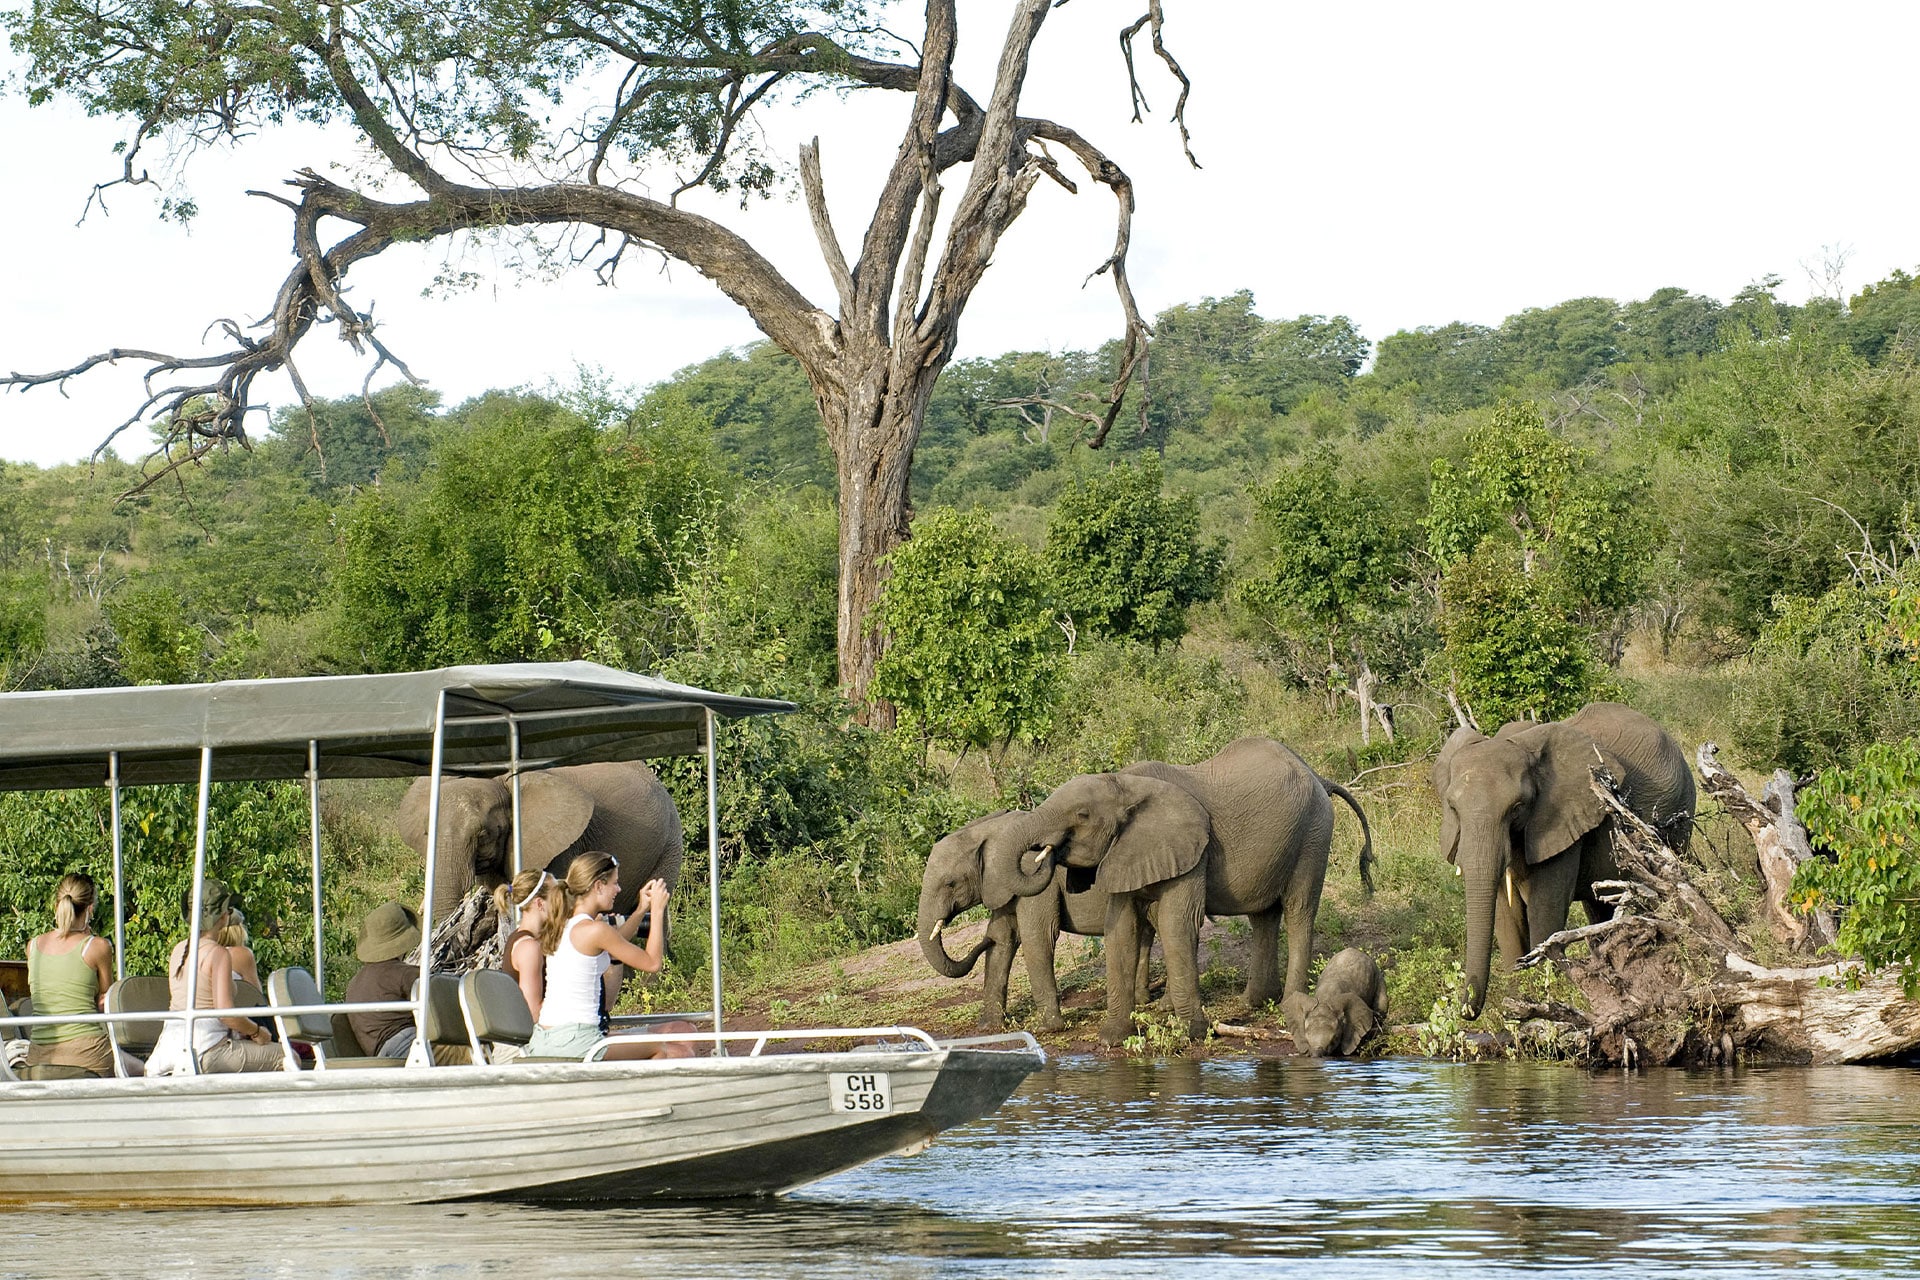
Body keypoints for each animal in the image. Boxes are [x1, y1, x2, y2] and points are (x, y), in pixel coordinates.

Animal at [917, 810, 1154, 1031]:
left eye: (950, 883)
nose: (982, 941)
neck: (989, 830)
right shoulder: (1001, 887)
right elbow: (1003, 940)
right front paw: (988, 1028)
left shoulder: (1034, 880)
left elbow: (1037, 938)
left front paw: (1047, 1028)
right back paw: (1143, 1000)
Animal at [980, 737, 1375, 1047]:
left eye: (1081, 815)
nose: (1044, 854)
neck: (1125, 784)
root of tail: (1318, 776)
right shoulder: (1126, 851)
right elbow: (1120, 929)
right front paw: (1112, 1038)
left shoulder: (1192, 850)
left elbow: (1176, 923)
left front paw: (1190, 1033)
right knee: (1263, 916)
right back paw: (1253, 1003)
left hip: (1314, 834)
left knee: (1298, 910)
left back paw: (1286, 1005)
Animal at [1433, 702, 1695, 1017]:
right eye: (1452, 807)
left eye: (1517, 807)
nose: (1466, 1011)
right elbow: (1506, 917)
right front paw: (1518, 1008)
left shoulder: (1560, 816)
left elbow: (1544, 912)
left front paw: (1541, 1003)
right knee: (1600, 908)